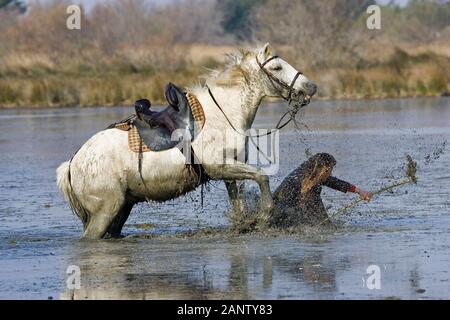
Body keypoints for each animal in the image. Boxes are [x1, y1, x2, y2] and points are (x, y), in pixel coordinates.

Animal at [56, 42, 316, 239]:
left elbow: (240, 202)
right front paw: (264, 216)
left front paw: (246, 223)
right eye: (277, 67)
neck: (223, 113)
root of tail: (73, 163)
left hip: (121, 209)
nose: (311, 86)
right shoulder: (219, 167)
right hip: (105, 211)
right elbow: (262, 177)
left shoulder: (230, 171)